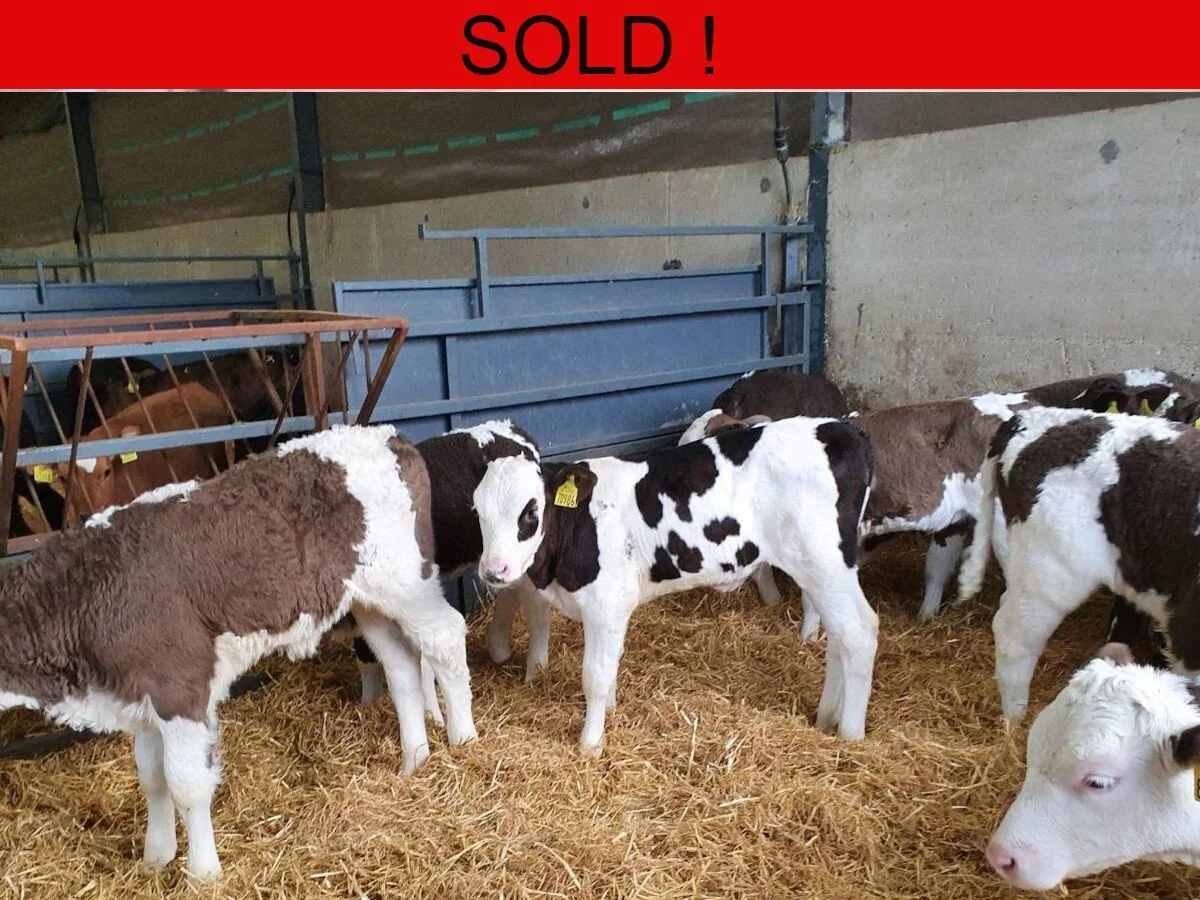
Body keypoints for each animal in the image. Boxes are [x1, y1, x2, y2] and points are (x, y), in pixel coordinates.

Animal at [0, 425, 471, 880]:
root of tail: (388, 436)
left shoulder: (180, 686)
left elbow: (186, 784)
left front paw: (203, 873)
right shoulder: (138, 697)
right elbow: (151, 778)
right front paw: (156, 857)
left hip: (408, 583)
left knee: (446, 638)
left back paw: (464, 741)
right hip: (370, 602)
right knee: (402, 667)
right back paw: (414, 760)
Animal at [471, 417, 877, 754]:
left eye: (530, 510)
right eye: (477, 510)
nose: (493, 569)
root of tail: (840, 428)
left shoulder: (605, 605)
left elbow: (595, 676)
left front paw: (590, 743)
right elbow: (613, 663)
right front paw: (611, 710)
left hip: (824, 562)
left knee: (859, 632)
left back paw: (851, 735)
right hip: (823, 570)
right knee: (840, 635)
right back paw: (826, 717)